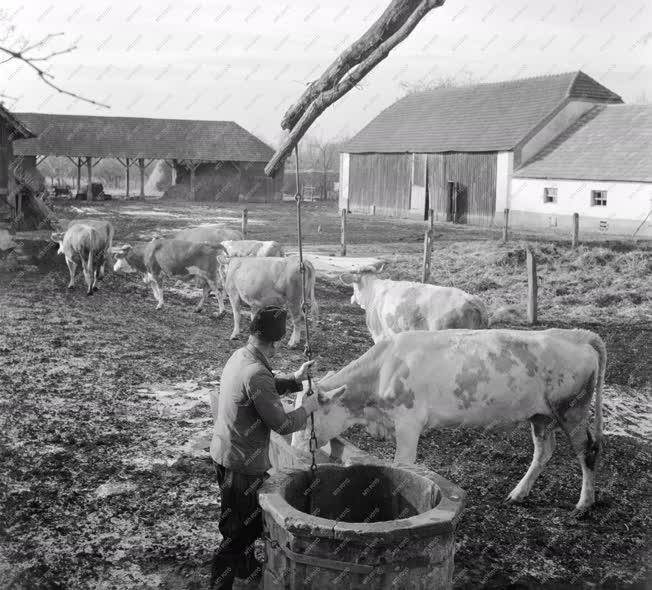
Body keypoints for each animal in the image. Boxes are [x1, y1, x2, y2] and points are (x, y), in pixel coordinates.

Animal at [294, 330, 608, 516]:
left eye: (310, 416)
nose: (296, 448)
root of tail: (577, 335)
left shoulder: (408, 422)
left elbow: (403, 464)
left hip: (572, 411)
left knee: (588, 450)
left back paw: (584, 503)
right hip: (541, 416)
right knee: (544, 451)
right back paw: (518, 493)